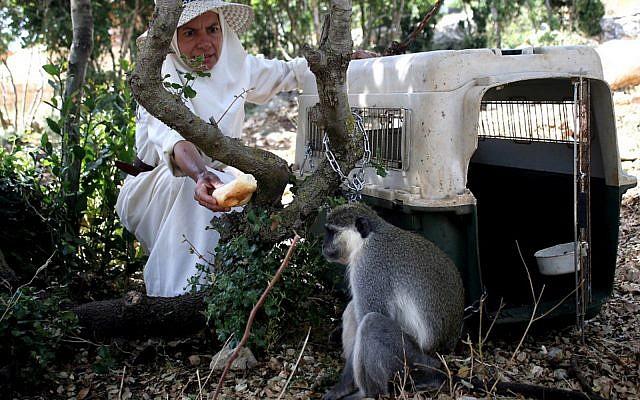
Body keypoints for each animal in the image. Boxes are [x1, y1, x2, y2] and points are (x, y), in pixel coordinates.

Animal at [322, 205, 462, 398]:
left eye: (332, 232)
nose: (323, 245)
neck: (366, 239)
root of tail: (443, 351)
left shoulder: (369, 266)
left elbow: (371, 312)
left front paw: (342, 386)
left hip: (411, 357)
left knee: (371, 322)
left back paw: (369, 394)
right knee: (353, 311)